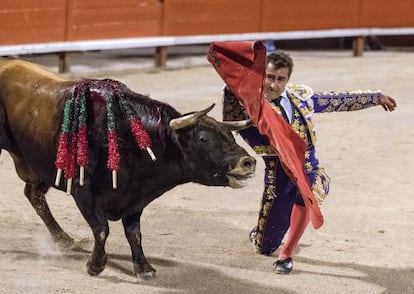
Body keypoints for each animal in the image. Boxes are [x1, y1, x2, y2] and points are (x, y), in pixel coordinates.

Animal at [0, 58, 256, 280]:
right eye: (203, 138)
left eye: (230, 135)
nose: (248, 162)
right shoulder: (83, 191)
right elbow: (101, 228)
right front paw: (95, 265)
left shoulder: (135, 195)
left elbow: (134, 233)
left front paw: (143, 268)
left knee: (33, 194)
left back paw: (64, 239)